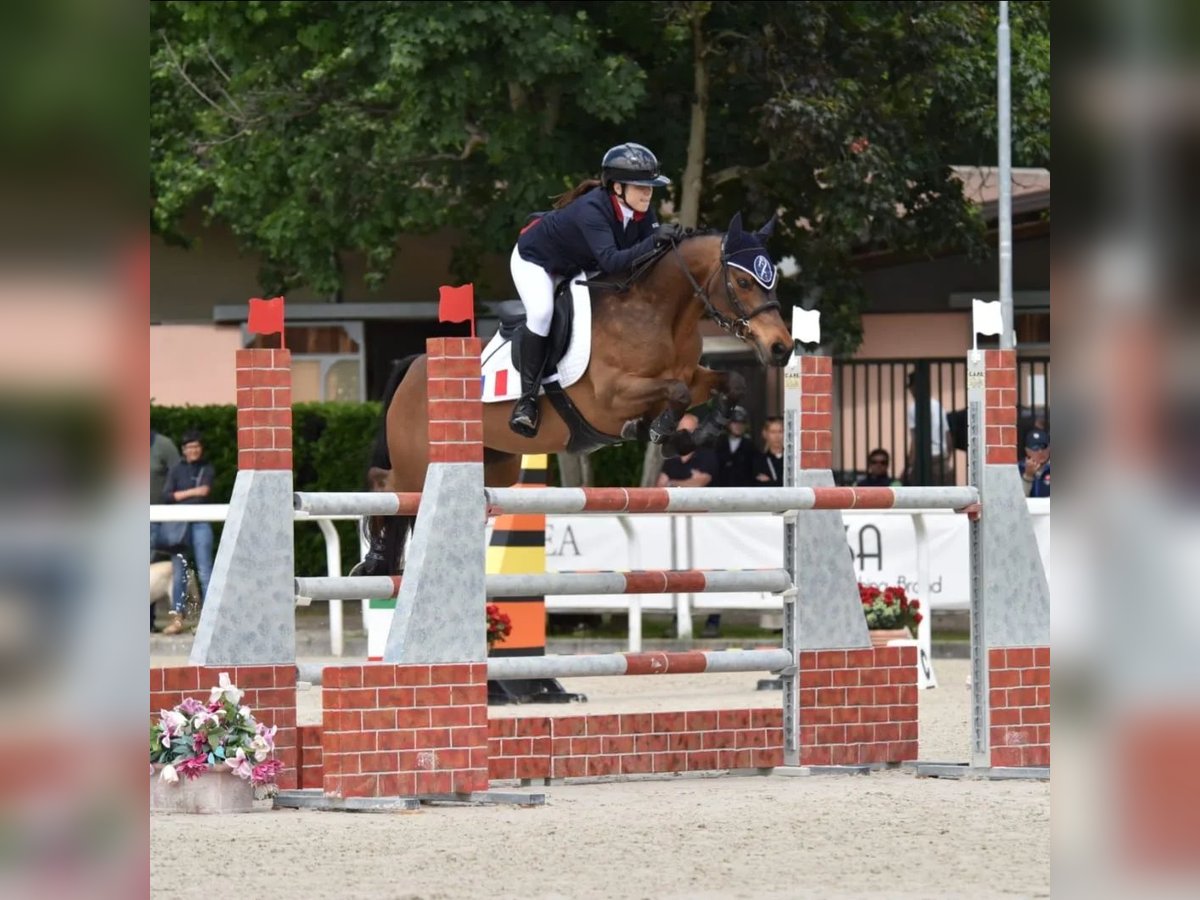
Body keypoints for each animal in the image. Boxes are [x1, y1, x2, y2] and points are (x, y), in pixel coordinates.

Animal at [350, 213, 792, 578]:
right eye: (743, 282)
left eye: (773, 280)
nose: (781, 348)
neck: (661, 314)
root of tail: (414, 365)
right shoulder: (611, 397)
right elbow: (676, 394)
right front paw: (662, 430)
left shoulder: (690, 375)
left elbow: (728, 382)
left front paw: (691, 433)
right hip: (418, 463)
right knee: (386, 485)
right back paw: (373, 562)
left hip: (496, 465)